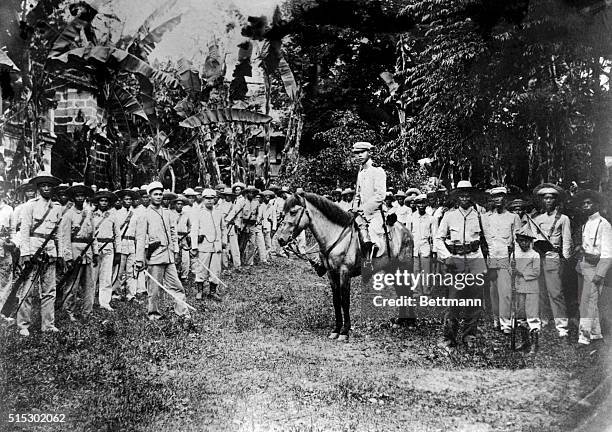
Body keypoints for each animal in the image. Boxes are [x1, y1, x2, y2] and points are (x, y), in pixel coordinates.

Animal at [278, 192, 414, 340]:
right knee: (401, 291)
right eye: (283, 212)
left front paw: (345, 331)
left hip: (403, 267)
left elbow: (345, 300)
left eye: (293, 212)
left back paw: (409, 322)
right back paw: (400, 321)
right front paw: (336, 329)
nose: (280, 239)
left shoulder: (345, 273)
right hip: (392, 269)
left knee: (407, 291)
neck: (335, 236)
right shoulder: (331, 273)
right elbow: (336, 300)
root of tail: (406, 230)